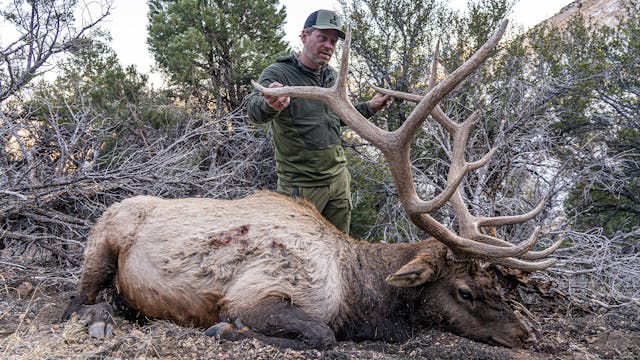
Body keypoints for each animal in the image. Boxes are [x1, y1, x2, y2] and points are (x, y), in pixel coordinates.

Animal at [62, 22, 556, 348]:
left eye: (496, 285)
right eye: (465, 291)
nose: (527, 334)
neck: (360, 298)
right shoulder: (254, 293)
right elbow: (321, 334)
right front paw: (228, 329)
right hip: (100, 245)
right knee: (75, 300)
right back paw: (100, 320)